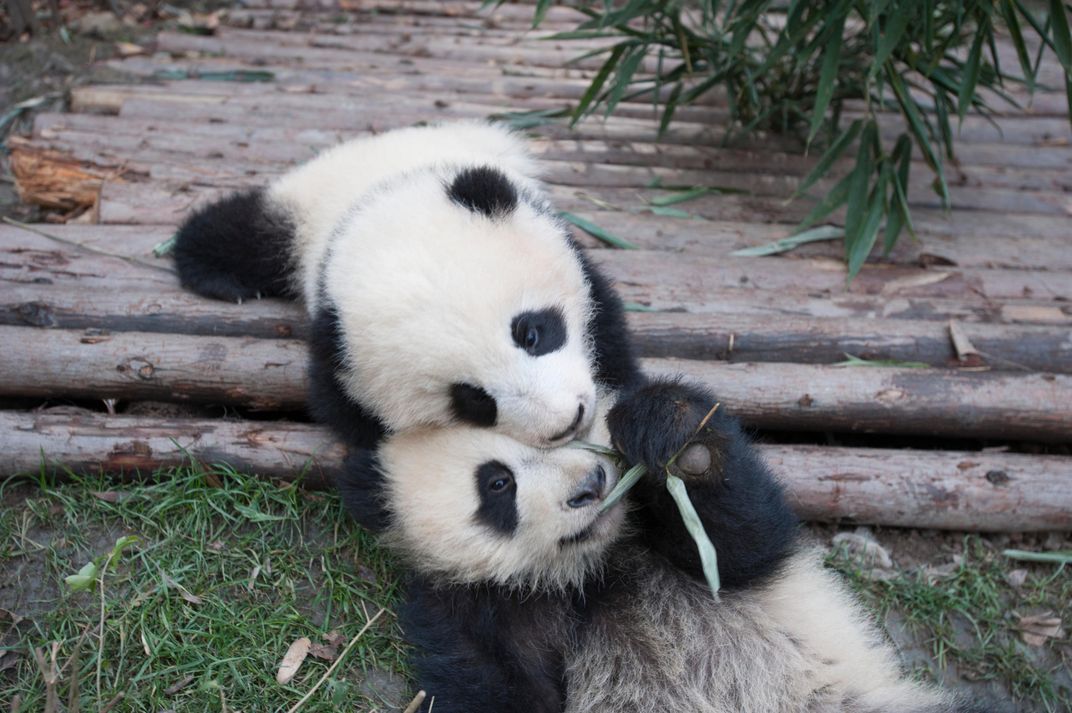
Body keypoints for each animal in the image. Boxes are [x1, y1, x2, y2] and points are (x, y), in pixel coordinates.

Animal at [373, 381, 981, 711]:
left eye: (571, 431)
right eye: (498, 484)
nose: (591, 485)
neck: (590, 572)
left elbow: (740, 544)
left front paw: (674, 436)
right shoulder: (476, 616)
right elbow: (502, 691)